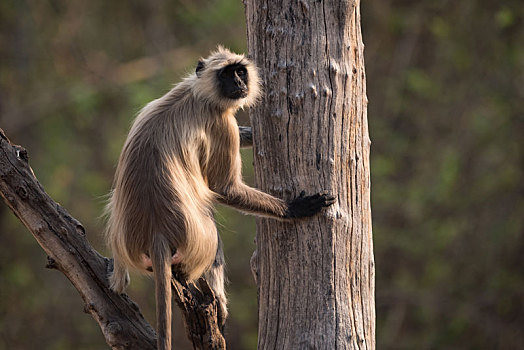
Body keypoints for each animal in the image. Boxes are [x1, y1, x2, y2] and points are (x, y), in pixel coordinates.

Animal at [105, 47, 336, 350]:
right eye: (226, 74)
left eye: (240, 72)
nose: (238, 83)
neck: (199, 93)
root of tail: (155, 234)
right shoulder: (220, 122)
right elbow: (224, 187)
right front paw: (294, 208)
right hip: (196, 241)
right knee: (212, 235)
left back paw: (116, 280)